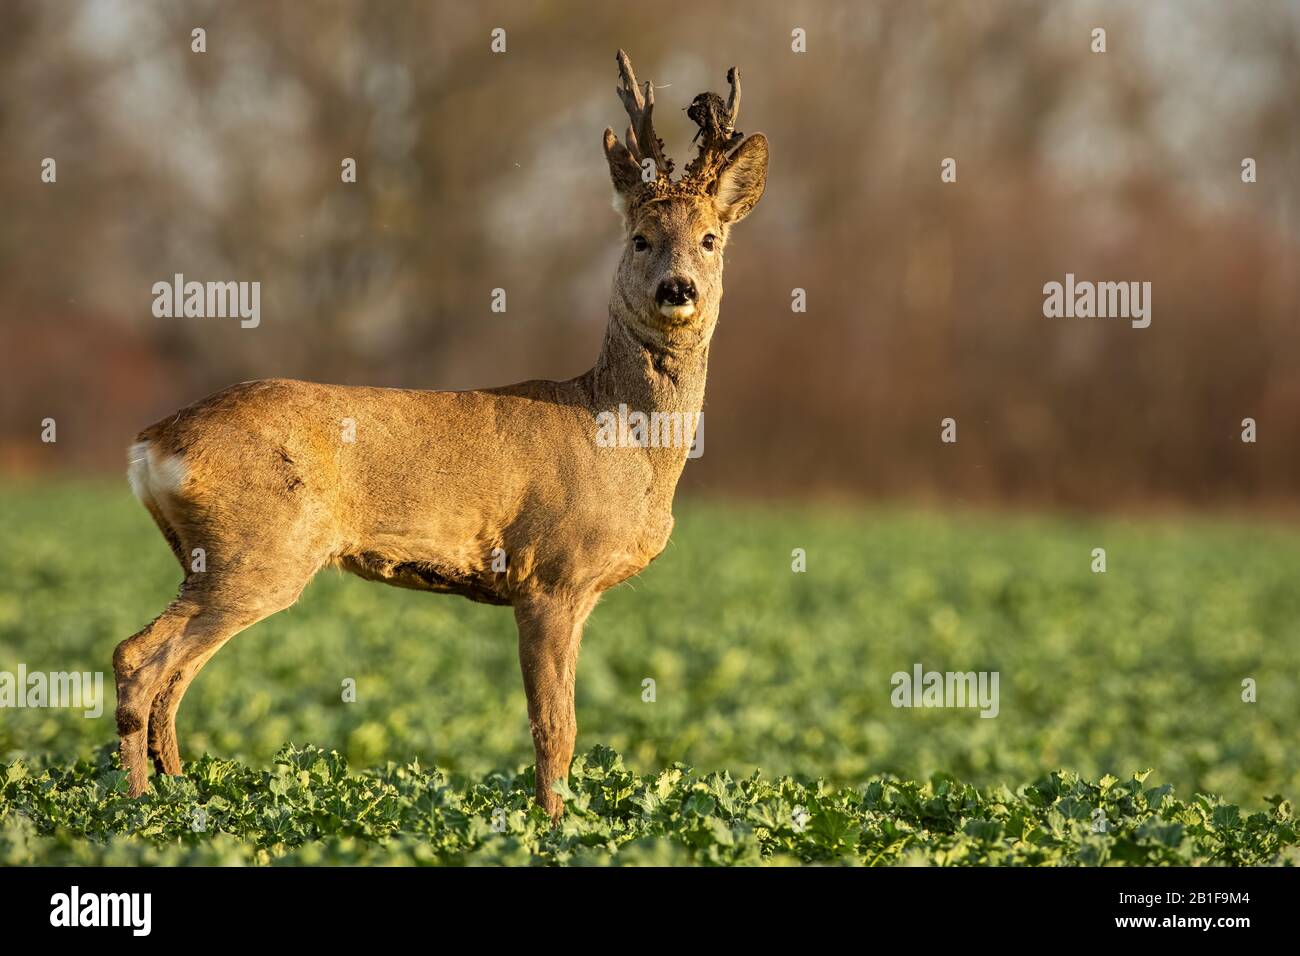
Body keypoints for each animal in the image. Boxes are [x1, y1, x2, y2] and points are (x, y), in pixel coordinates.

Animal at [116, 48, 764, 816]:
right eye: (641, 238)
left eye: (710, 238)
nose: (677, 289)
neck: (621, 435)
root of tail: (153, 443)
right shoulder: (552, 573)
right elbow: (555, 728)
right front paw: (552, 825)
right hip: (258, 549)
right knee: (139, 659)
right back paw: (134, 811)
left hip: (206, 555)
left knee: (169, 678)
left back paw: (178, 799)